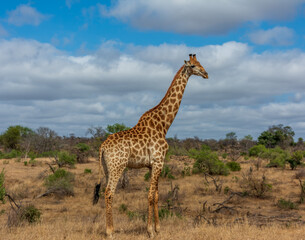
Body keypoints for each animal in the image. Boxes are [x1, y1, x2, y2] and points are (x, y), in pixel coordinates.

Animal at [92, 54, 207, 236]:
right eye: (193, 66)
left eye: (200, 63)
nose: (206, 73)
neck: (164, 125)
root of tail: (102, 146)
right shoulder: (159, 161)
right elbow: (150, 195)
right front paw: (150, 231)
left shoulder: (153, 165)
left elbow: (156, 196)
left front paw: (158, 228)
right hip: (117, 166)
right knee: (109, 192)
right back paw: (110, 231)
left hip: (106, 167)